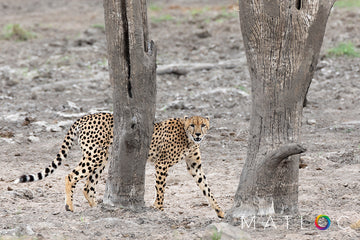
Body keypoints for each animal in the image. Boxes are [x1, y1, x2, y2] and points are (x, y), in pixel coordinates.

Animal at [14, 112, 225, 218]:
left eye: (203, 125)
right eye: (192, 125)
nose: (198, 134)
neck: (187, 138)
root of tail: (85, 116)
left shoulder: (194, 167)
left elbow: (207, 189)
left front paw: (220, 211)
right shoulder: (162, 164)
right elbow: (161, 189)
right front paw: (158, 208)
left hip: (102, 158)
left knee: (87, 186)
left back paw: (95, 207)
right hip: (95, 156)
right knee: (71, 175)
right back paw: (70, 206)